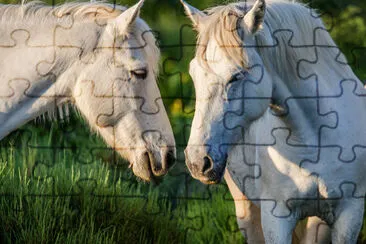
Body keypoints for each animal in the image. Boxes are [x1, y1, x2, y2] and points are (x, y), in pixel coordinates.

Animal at [182, 0, 364, 242]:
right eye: (193, 74)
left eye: (236, 76)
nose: (197, 162)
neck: (317, 138)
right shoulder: (275, 218)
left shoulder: (349, 215)